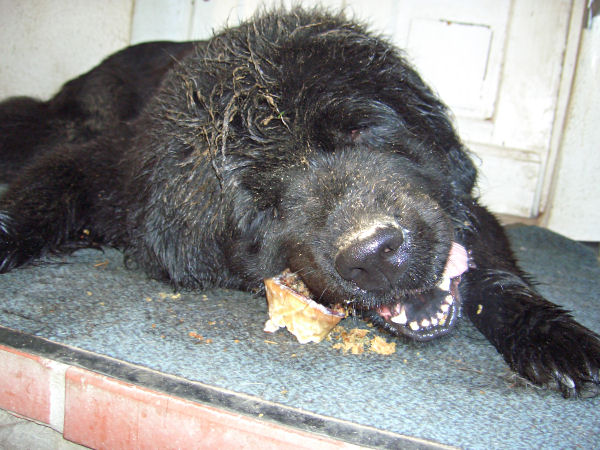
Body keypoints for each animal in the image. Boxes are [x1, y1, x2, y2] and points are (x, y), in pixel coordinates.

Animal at [1, 8, 598, 397]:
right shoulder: (107, 166)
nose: (376, 253)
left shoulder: (457, 203)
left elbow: (494, 273)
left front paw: (553, 336)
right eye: (266, 202)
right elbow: (42, 192)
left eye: (361, 130)